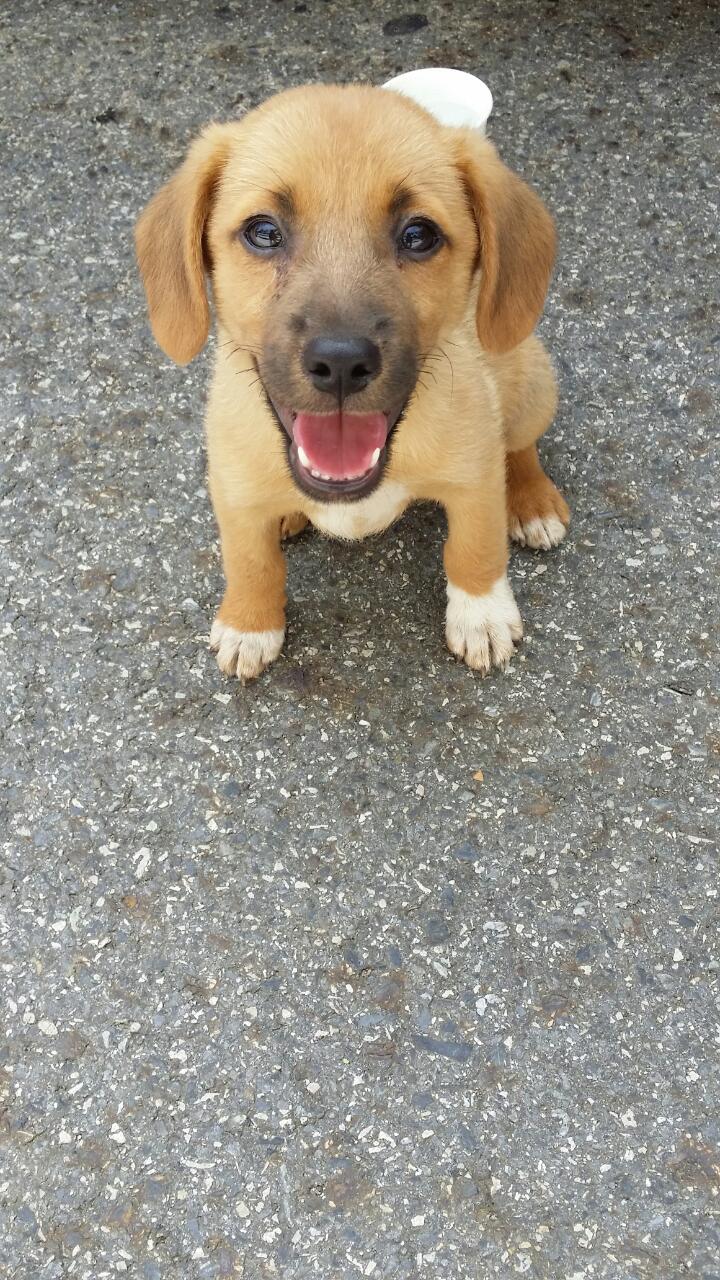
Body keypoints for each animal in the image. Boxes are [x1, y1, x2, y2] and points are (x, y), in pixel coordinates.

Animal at [136, 83, 569, 680]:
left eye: (418, 234)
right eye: (263, 232)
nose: (340, 363)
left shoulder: (474, 476)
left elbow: (474, 546)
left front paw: (481, 612)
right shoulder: (233, 487)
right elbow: (250, 561)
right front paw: (250, 623)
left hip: (530, 383)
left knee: (521, 446)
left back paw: (531, 501)